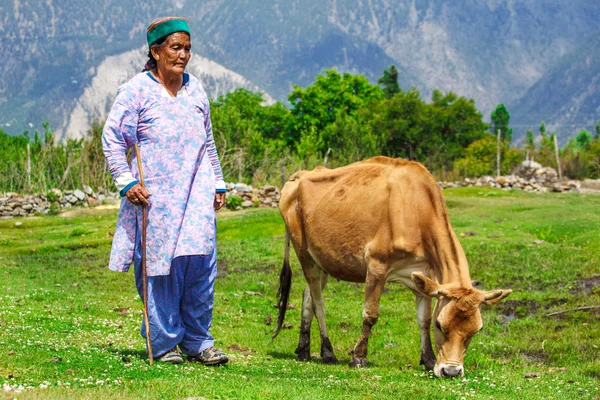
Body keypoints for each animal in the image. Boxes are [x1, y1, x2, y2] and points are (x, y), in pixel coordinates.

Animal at [274, 157, 512, 378]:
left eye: (476, 330)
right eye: (440, 325)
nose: (451, 372)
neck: (417, 209)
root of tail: (298, 176)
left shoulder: (423, 276)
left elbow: (422, 320)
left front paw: (428, 359)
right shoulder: (376, 265)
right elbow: (370, 314)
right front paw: (358, 357)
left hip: (322, 259)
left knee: (308, 297)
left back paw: (304, 350)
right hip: (303, 253)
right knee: (319, 303)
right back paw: (328, 352)